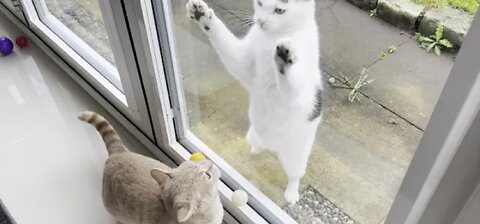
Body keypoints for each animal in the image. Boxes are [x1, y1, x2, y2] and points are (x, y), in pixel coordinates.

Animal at [188, 0, 322, 204]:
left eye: (279, 10)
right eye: (259, 3)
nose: (260, 21)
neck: (272, 37)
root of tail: (274, 146)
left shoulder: (297, 90)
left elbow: (290, 82)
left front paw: (284, 56)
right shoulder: (242, 63)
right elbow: (222, 38)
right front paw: (202, 15)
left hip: (296, 155)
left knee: (294, 175)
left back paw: (291, 193)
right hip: (253, 134)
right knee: (260, 145)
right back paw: (257, 149)